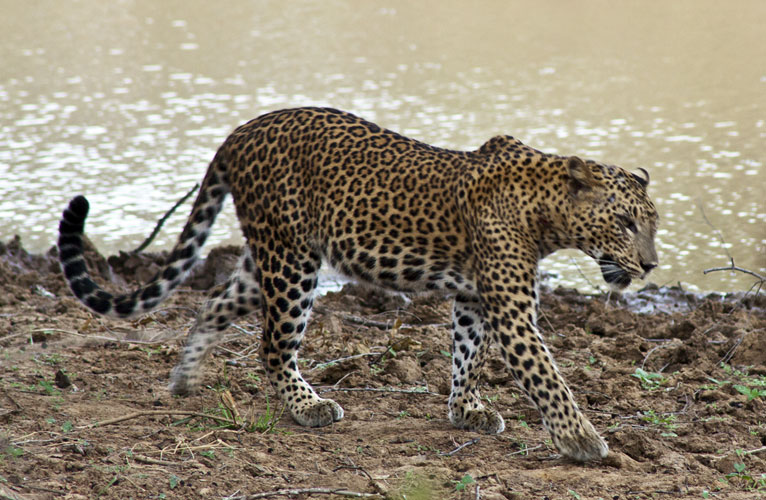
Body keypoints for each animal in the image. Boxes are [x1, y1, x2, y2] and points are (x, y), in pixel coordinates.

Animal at [58, 107, 660, 462]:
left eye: (651, 224)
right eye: (626, 223)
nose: (652, 266)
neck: (547, 212)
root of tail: (240, 131)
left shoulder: (474, 297)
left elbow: (468, 354)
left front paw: (465, 410)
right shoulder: (511, 310)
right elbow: (546, 377)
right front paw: (583, 440)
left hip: (272, 256)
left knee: (214, 302)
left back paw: (185, 379)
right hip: (293, 261)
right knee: (273, 344)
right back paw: (307, 407)